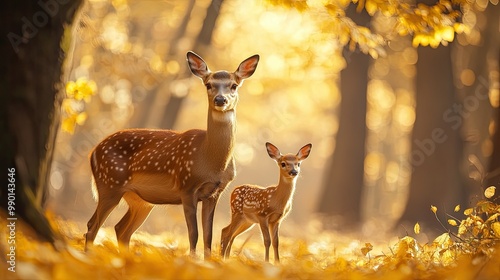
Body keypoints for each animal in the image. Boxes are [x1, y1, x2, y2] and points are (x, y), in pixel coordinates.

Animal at [84, 50, 260, 258]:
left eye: (234, 85)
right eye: (208, 84)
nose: (220, 100)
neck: (211, 161)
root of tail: (93, 152)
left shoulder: (214, 193)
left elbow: (208, 235)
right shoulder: (187, 187)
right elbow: (194, 234)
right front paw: (191, 260)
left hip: (140, 199)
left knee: (121, 229)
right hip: (109, 184)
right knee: (92, 226)